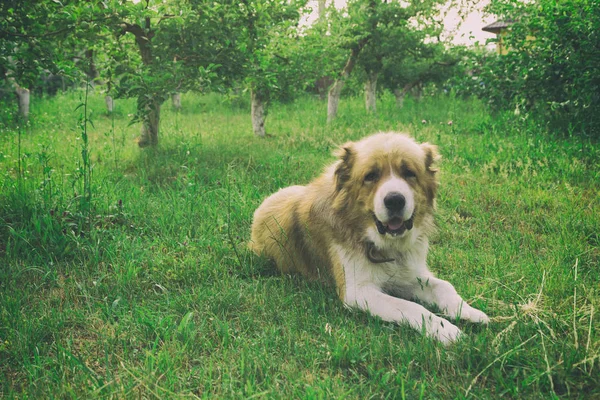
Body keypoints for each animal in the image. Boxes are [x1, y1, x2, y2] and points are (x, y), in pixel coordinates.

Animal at [248, 132, 488, 344]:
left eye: (409, 173)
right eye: (371, 176)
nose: (395, 200)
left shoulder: (407, 275)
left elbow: (444, 286)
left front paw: (467, 310)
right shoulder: (358, 291)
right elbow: (410, 306)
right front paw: (444, 330)